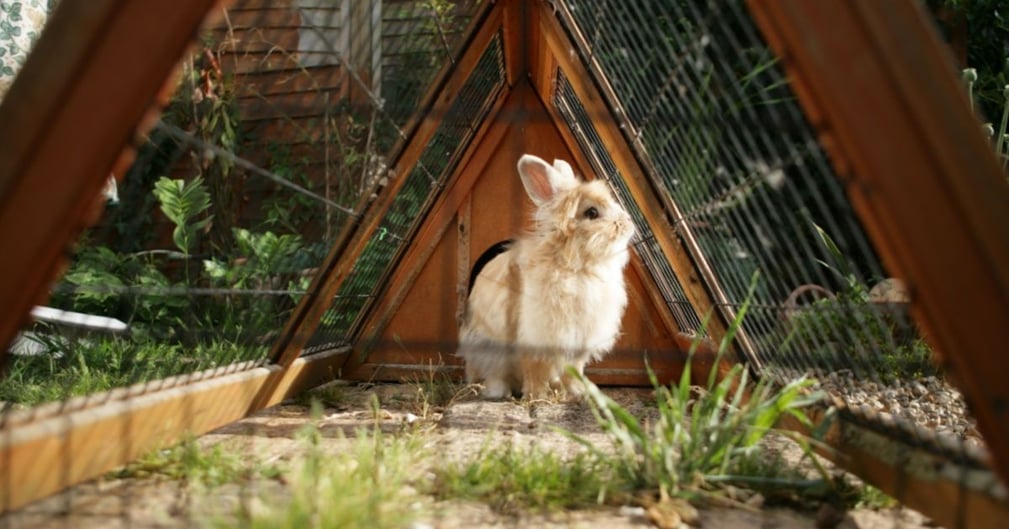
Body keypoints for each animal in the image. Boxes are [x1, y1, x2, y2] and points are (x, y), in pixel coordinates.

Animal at [460, 151, 633, 395]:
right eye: (592, 213)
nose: (628, 223)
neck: (576, 267)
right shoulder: (535, 336)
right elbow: (535, 370)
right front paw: (536, 396)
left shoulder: (579, 341)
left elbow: (575, 370)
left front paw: (580, 391)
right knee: (494, 376)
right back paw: (499, 392)